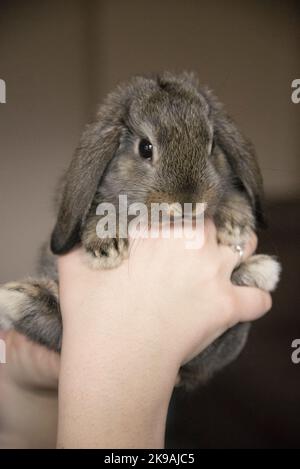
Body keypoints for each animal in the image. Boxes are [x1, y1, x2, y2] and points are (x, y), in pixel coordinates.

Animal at [0, 72, 282, 388]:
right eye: (145, 148)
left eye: (211, 145)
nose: (188, 202)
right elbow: (100, 211)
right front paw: (106, 247)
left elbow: (231, 194)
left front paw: (236, 225)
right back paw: (23, 301)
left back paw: (256, 272)